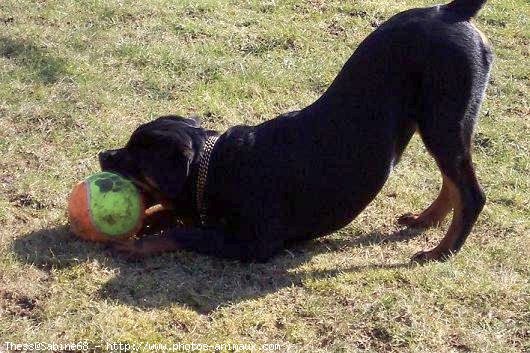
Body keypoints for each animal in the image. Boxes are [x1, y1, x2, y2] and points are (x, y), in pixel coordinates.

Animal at [98, 0, 490, 262]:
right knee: (451, 182)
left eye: (134, 156)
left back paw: (441, 251)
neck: (217, 170)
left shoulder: (253, 243)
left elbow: (183, 235)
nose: (102, 155)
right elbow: (168, 215)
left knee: (470, 193)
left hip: (443, 118)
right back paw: (425, 221)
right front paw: (142, 224)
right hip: (438, 123)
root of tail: (450, 11)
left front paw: (131, 243)